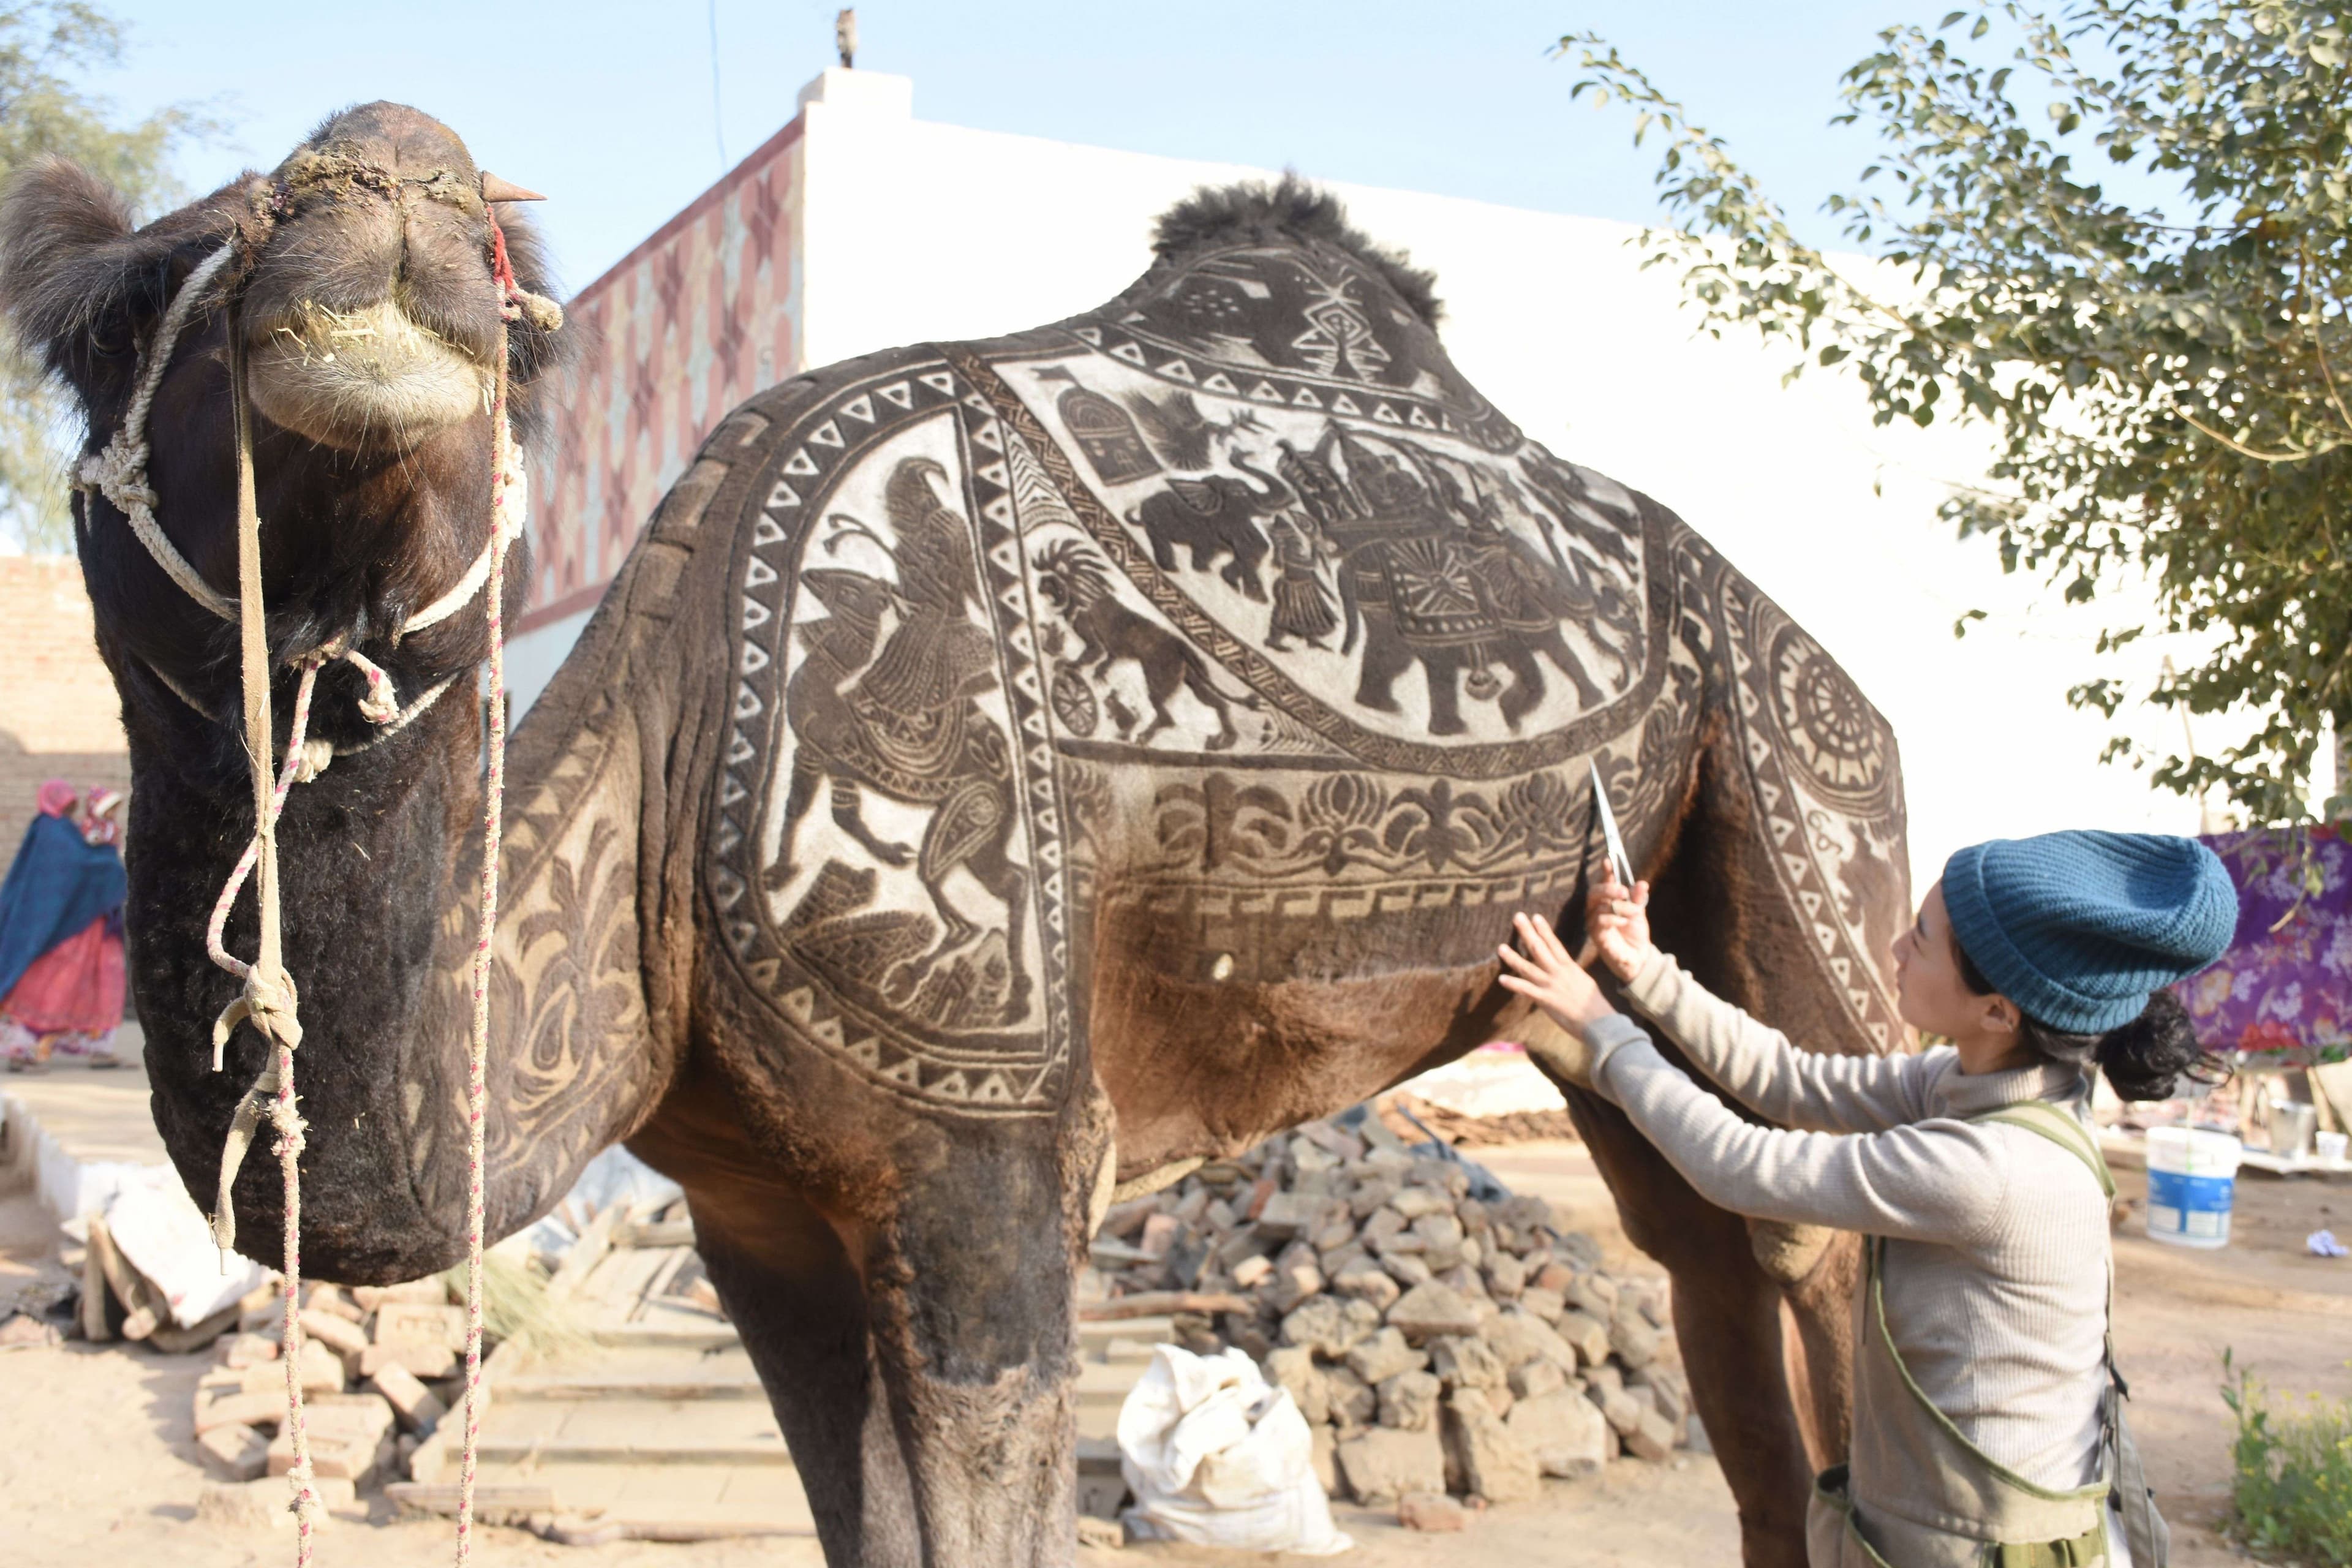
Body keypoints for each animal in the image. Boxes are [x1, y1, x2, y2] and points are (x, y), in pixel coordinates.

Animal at [0, 104, 1910, 1561]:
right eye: (114, 312)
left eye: (516, 306)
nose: (393, 177)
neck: (672, 770)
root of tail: (1829, 670)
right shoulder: (755, 1218)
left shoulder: (984, 1162)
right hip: (1604, 953)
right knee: (1698, 1238)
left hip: (1790, 785)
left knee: (1815, 1220)